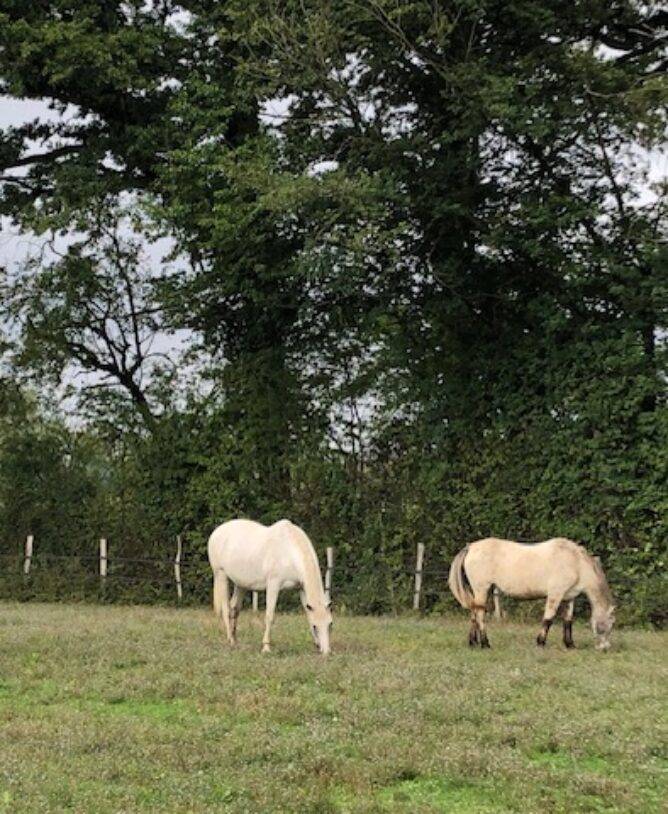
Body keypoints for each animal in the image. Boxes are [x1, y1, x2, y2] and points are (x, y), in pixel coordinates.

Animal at [207, 518, 332, 655]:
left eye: (330, 624)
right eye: (315, 627)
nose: (326, 652)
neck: (289, 552)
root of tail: (217, 531)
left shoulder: (301, 588)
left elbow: (307, 613)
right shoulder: (273, 586)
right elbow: (269, 616)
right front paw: (266, 647)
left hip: (241, 584)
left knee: (234, 608)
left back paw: (235, 641)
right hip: (221, 575)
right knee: (225, 609)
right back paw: (230, 639)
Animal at [448, 537, 615, 651]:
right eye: (610, 624)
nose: (605, 648)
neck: (575, 562)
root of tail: (471, 547)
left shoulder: (569, 597)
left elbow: (568, 621)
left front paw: (570, 644)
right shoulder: (555, 595)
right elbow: (548, 619)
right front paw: (540, 643)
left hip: (480, 592)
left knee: (474, 613)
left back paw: (473, 643)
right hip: (482, 589)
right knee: (480, 616)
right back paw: (485, 644)